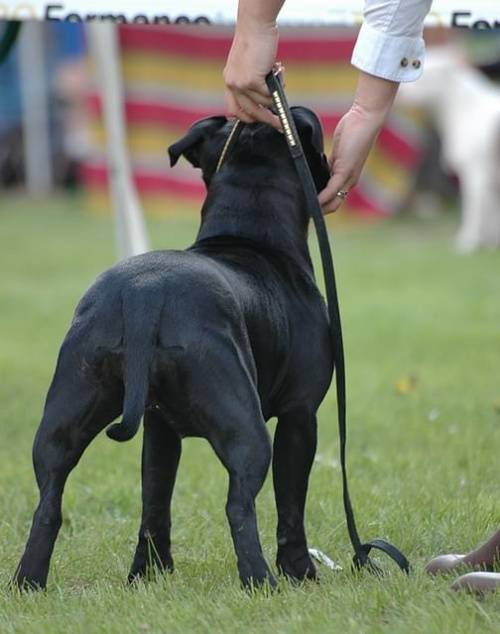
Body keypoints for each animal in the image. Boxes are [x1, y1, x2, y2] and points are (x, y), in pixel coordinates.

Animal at [15, 107, 334, 588]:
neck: (249, 235)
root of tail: (143, 295)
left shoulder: (159, 428)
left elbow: (155, 499)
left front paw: (149, 575)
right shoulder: (301, 416)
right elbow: (291, 505)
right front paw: (302, 573)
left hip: (64, 415)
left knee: (48, 503)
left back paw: (28, 583)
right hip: (245, 427)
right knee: (239, 504)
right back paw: (262, 582)